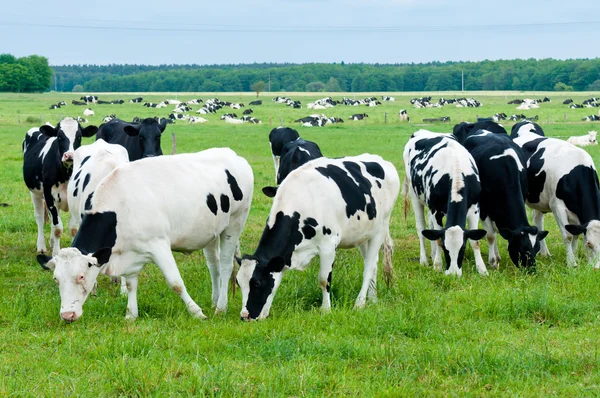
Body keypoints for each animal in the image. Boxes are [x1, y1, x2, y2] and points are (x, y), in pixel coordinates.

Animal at [21, 117, 98, 255]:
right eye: (59, 137)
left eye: (79, 136)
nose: (69, 155)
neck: (66, 175)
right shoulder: (50, 198)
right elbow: (58, 228)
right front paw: (56, 254)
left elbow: (72, 228)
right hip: (35, 193)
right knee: (40, 218)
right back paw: (41, 246)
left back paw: (51, 242)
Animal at [37, 148, 253, 322]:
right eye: (56, 279)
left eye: (81, 276)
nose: (67, 315)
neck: (120, 206)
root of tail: (233, 155)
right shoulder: (130, 252)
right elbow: (132, 284)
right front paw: (131, 314)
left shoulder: (159, 245)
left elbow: (175, 283)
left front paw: (197, 312)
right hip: (211, 232)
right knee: (213, 266)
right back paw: (215, 300)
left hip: (235, 223)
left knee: (225, 266)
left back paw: (220, 308)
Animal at [237, 155, 400, 320]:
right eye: (239, 283)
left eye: (257, 283)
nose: (245, 316)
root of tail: (380, 159)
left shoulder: (328, 246)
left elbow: (323, 279)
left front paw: (326, 309)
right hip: (363, 234)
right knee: (373, 263)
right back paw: (373, 299)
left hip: (380, 229)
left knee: (369, 266)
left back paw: (359, 304)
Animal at [404, 129, 488, 276]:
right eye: (445, 247)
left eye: (463, 247)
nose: (453, 274)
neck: (456, 170)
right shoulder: (436, 210)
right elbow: (437, 238)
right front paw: (437, 265)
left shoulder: (474, 208)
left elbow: (475, 241)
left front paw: (482, 269)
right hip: (415, 195)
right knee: (421, 228)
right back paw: (424, 260)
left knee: (429, 227)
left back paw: (432, 254)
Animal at [510, 121, 600, 268]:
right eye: (588, 244)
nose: (596, 269)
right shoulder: (557, 207)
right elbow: (568, 235)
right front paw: (571, 262)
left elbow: (576, 234)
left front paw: (574, 255)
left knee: (537, 219)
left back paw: (544, 252)